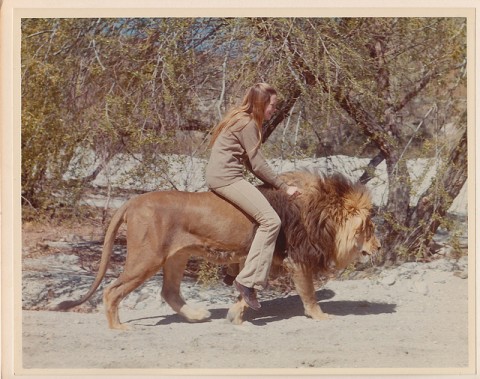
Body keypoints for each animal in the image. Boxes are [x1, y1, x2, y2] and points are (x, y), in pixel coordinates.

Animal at [55, 172, 378, 330]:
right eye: (369, 227)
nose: (378, 247)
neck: (318, 214)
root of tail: (133, 201)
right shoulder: (294, 260)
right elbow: (309, 294)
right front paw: (321, 317)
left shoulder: (254, 258)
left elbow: (246, 291)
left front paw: (235, 316)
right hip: (147, 258)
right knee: (111, 291)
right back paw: (118, 328)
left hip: (176, 257)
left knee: (169, 292)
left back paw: (197, 315)